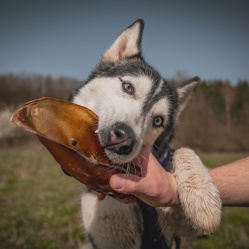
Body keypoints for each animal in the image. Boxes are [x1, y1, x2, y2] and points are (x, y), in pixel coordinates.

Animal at [71, 19, 221, 249]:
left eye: (158, 120)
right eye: (127, 87)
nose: (123, 140)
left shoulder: (176, 227)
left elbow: (183, 150)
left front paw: (202, 194)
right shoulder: (108, 236)